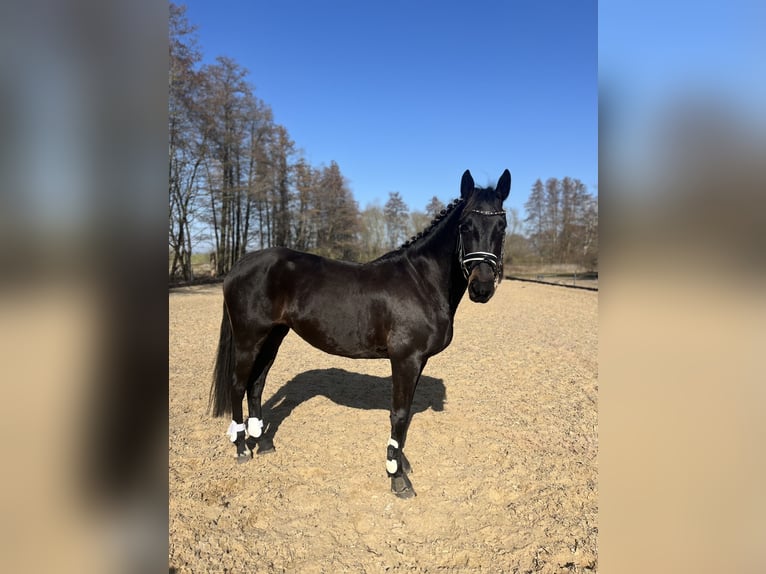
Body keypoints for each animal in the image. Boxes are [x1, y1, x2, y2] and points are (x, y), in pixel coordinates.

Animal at [209, 169, 510, 498]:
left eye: (502, 226)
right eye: (465, 226)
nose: (482, 288)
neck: (422, 282)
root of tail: (241, 264)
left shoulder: (417, 361)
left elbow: (405, 414)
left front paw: (401, 462)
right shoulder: (405, 359)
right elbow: (399, 413)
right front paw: (396, 476)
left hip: (274, 336)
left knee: (256, 384)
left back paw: (263, 443)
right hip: (249, 339)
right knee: (238, 384)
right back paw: (241, 448)